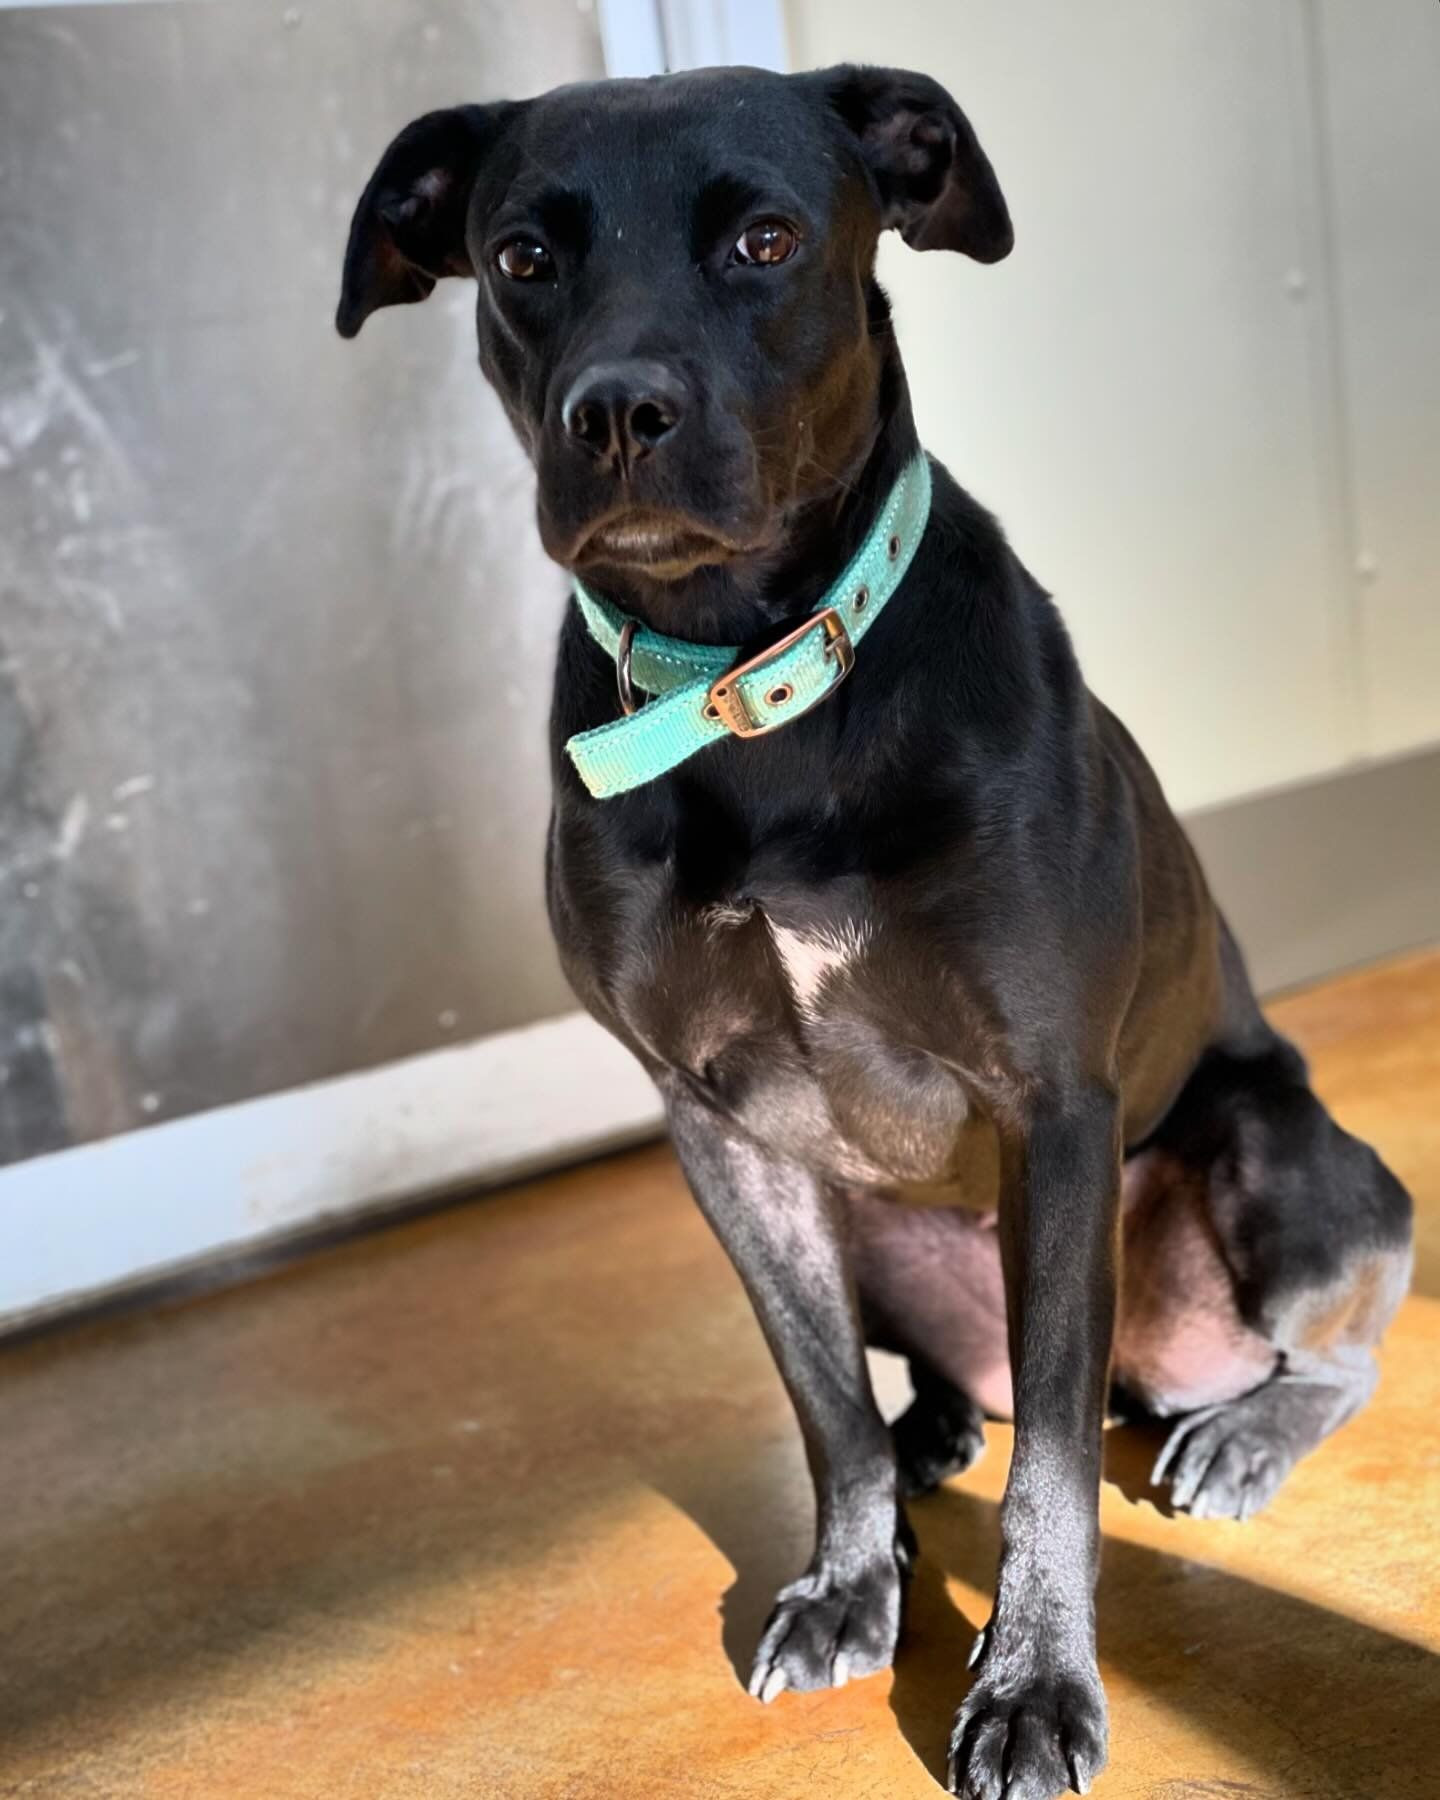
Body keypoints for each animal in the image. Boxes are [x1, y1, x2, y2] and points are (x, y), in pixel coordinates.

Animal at [334, 63, 1404, 1792]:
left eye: (766, 240)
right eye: (520, 258)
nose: (616, 414)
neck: (745, 686)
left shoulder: (1055, 1108)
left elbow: (1054, 1472)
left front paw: (1030, 1685)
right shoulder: (719, 1133)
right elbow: (820, 1394)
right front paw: (851, 1580)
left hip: (1272, 1159)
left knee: (1330, 1351)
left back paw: (1237, 1433)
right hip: (876, 1225)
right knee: (939, 1383)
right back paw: (932, 1438)